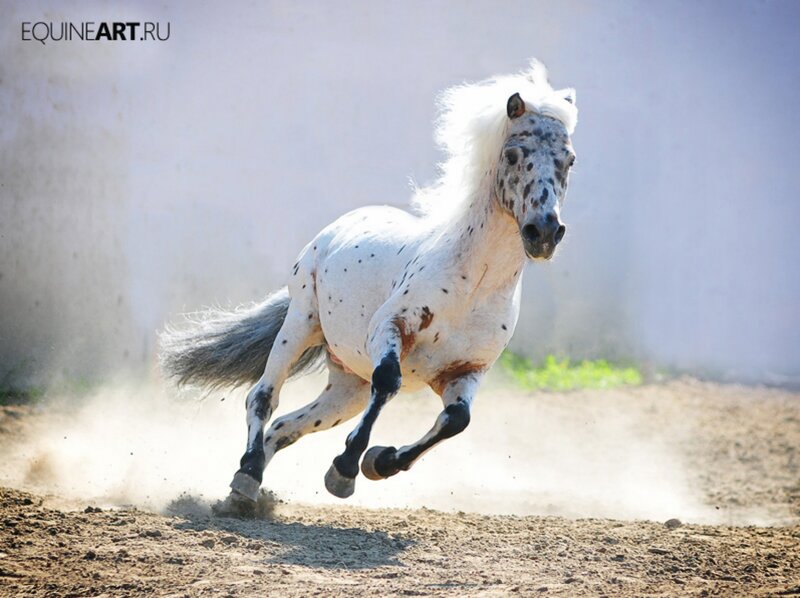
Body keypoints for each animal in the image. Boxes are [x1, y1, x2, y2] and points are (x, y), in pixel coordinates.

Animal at [159, 59, 578, 511]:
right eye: (514, 154)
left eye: (569, 160)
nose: (544, 233)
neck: (474, 286)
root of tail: (335, 228)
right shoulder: (388, 330)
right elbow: (390, 382)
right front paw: (344, 471)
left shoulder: (467, 371)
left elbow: (456, 420)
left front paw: (378, 462)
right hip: (301, 324)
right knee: (263, 396)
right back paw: (247, 473)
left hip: (348, 387)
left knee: (287, 426)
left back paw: (248, 493)